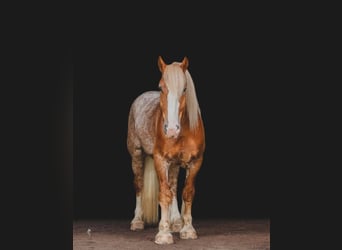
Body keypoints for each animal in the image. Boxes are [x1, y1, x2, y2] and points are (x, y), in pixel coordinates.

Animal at [126, 55, 204, 244]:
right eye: (161, 87)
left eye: (184, 89)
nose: (172, 130)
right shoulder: (161, 161)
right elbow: (164, 194)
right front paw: (163, 233)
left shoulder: (196, 162)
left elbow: (186, 193)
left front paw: (187, 229)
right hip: (136, 155)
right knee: (139, 184)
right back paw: (137, 221)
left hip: (175, 163)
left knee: (174, 187)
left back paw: (176, 222)